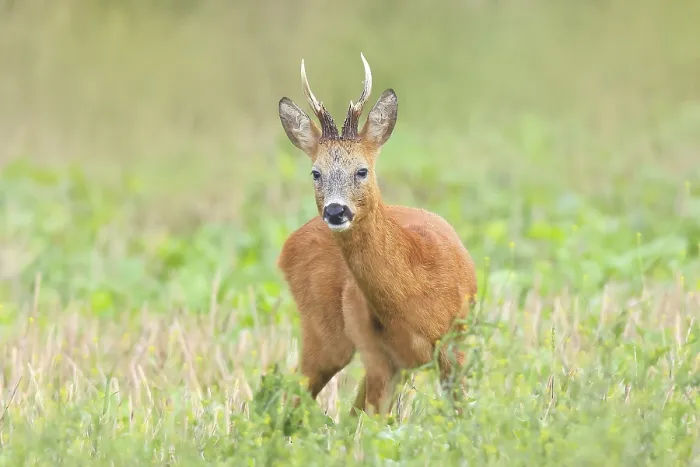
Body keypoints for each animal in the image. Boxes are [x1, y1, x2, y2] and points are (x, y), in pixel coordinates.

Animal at [276, 53, 478, 418]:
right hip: (324, 332)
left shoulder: (455, 343)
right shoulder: (376, 354)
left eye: (362, 170)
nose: (336, 211)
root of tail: (288, 245)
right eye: (315, 172)